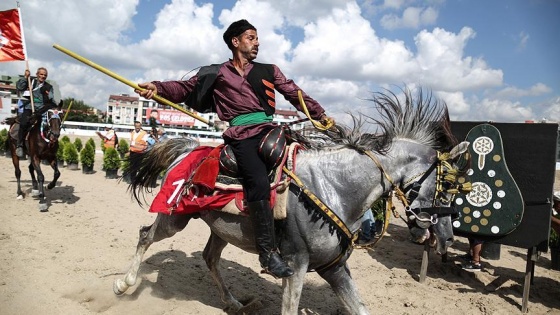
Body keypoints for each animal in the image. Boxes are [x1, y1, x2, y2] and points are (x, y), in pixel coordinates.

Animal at [114, 89, 468, 315]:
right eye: (447, 187)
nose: (447, 238)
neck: (334, 188)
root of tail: (189, 146)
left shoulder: (334, 267)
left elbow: (359, 308)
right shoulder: (295, 266)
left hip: (221, 228)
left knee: (210, 258)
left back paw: (235, 304)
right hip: (175, 217)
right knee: (146, 236)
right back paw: (124, 284)